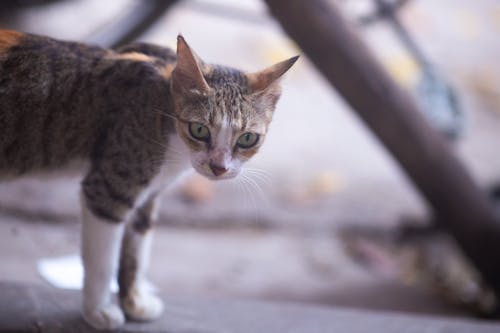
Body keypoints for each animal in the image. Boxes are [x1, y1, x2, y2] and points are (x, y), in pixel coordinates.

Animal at [0, 29, 296, 328]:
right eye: (199, 129)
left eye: (247, 138)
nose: (219, 167)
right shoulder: (109, 187)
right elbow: (103, 258)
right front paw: (99, 310)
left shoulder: (150, 193)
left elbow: (137, 249)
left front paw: (135, 302)